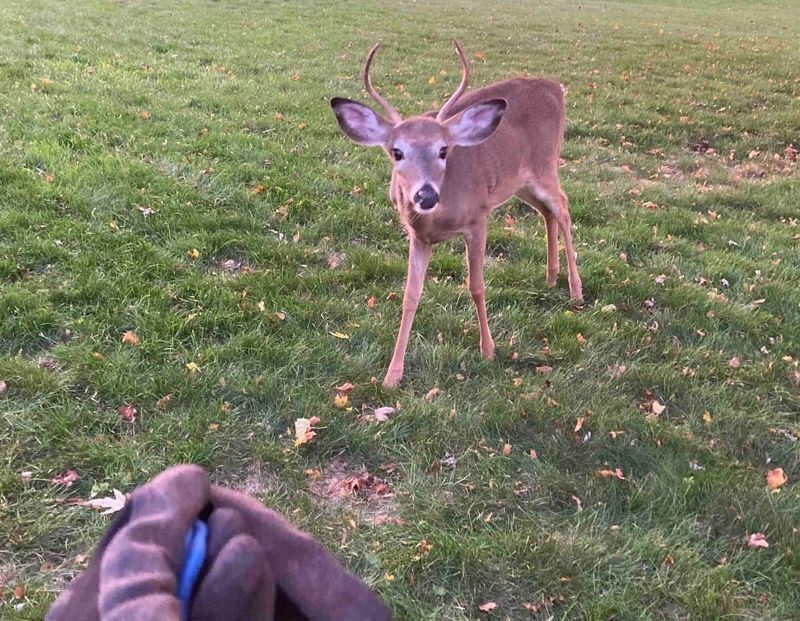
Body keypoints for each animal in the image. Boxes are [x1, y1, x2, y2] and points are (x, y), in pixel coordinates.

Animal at [330, 42, 583, 388]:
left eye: (443, 150)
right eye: (397, 152)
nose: (425, 195)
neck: (442, 213)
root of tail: (556, 87)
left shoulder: (478, 218)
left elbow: (476, 286)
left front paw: (488, 350)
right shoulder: (418, 237)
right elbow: (410, 296)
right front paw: (392, 375)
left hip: (546, 164)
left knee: (564, 207)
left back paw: (576, 290)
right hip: (519, 181)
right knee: (547, 211)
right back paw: (550, 276)